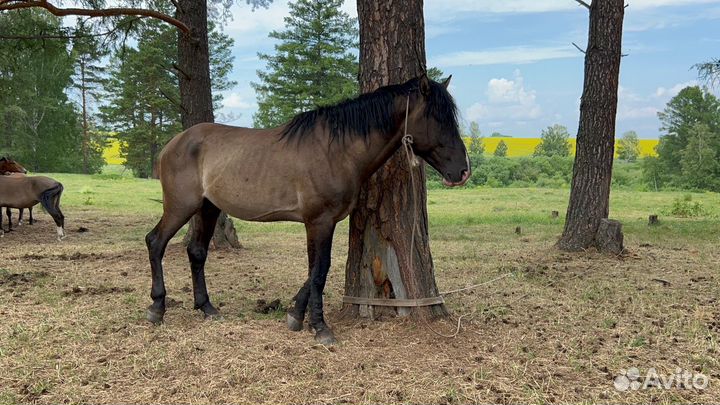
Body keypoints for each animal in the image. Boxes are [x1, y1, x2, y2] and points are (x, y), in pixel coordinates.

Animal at [145, 75, 470, 345]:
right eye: (438, 119)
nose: (462, 171)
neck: (337, 150)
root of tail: (173, 143)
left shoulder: (326, 222)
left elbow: (316, 268)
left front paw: (295, 316)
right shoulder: (319, 221)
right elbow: (319, 271)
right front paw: (320, 328)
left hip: (208, 208)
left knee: (197, 252)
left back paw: (207, 308)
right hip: (180, 207)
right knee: (156, 242)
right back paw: (157, 308)